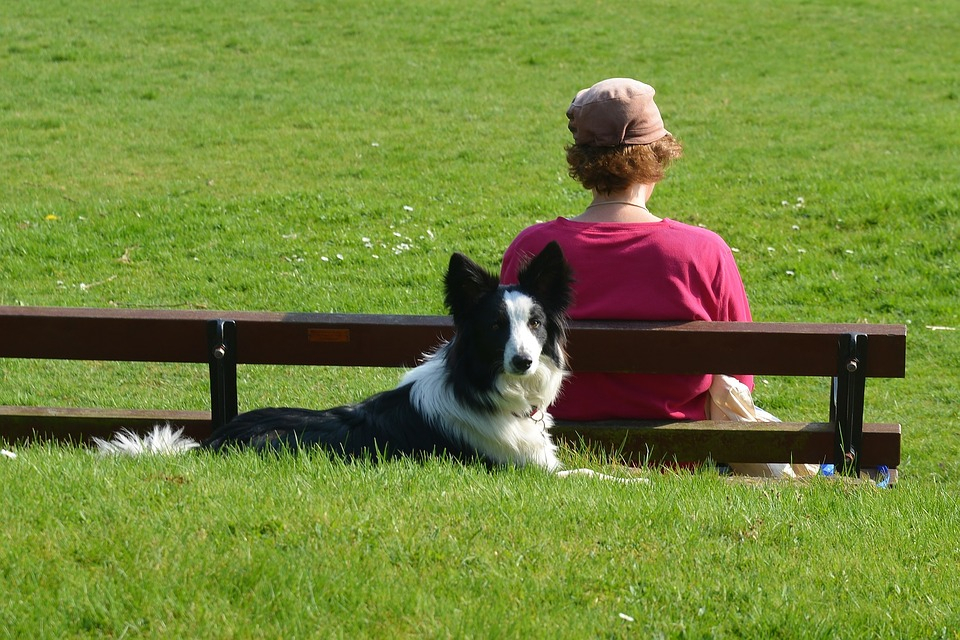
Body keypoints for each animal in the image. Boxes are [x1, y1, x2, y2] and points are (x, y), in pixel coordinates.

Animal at [97, 240, 572, 470]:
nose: (523, 362)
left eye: (535, 323)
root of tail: (212, 443)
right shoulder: (524, 472)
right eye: (495, 326)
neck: (479, 385)